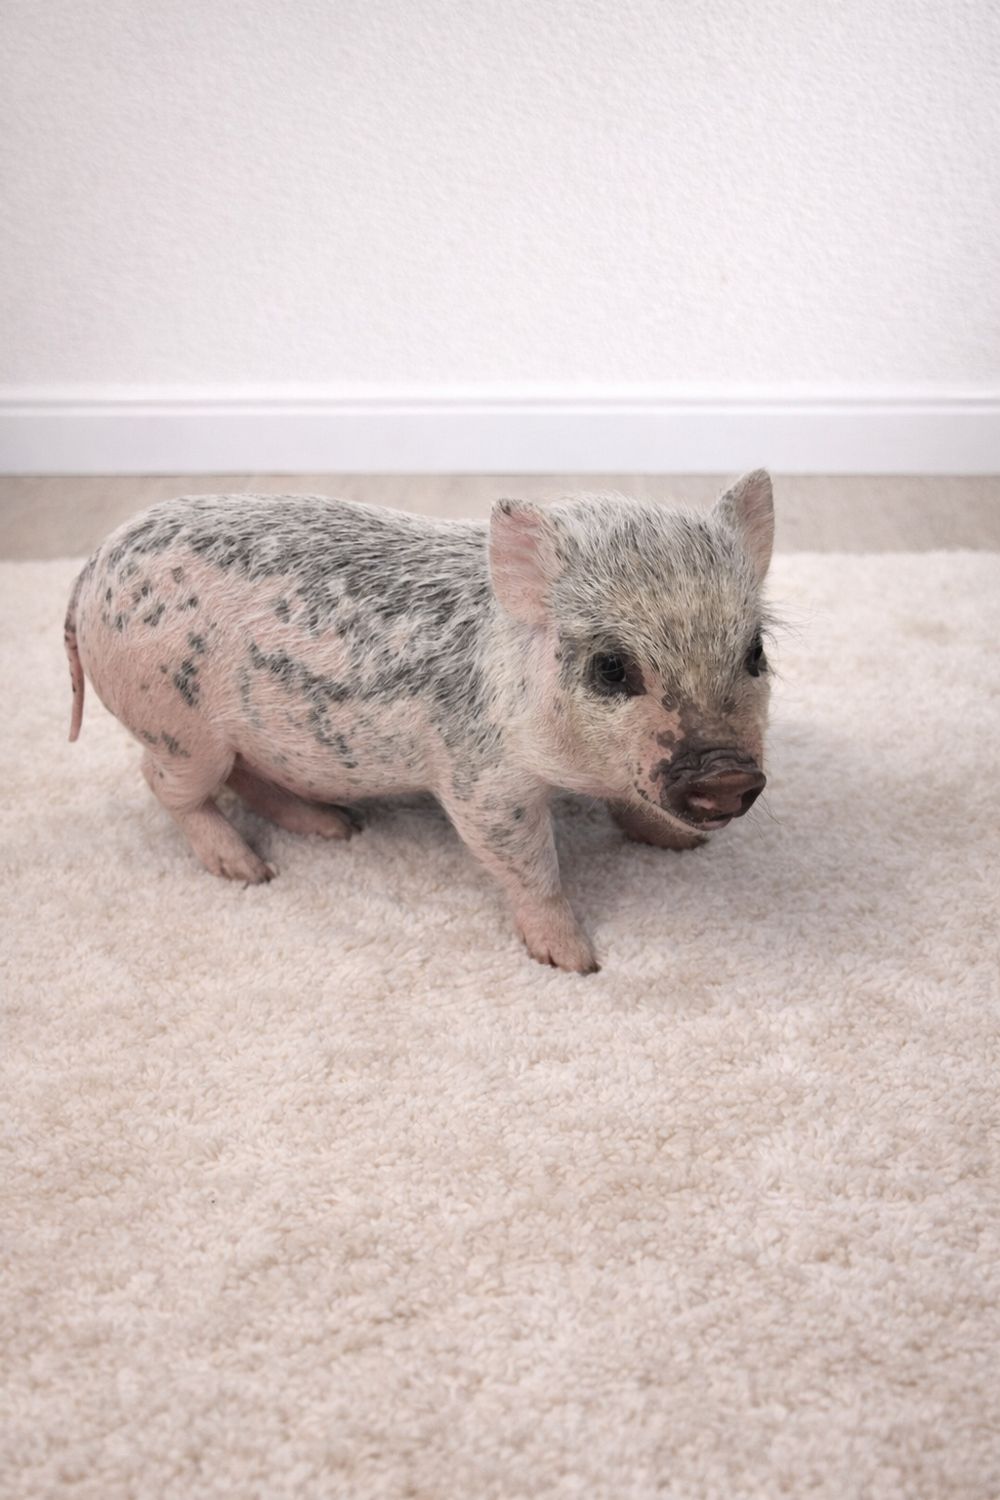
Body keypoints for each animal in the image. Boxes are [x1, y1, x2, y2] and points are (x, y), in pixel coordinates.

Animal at [64, 471, 775, 973]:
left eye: (755, 651)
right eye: (611, 668)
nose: (727, 775)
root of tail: (92, 565)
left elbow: (632, 807)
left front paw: (683, 847)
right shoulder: (479, 782)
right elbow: (528, 866)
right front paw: (577, 963)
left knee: (247, 779)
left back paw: (334, 828)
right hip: (176, 724)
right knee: (165, 783)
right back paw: (251, 870)